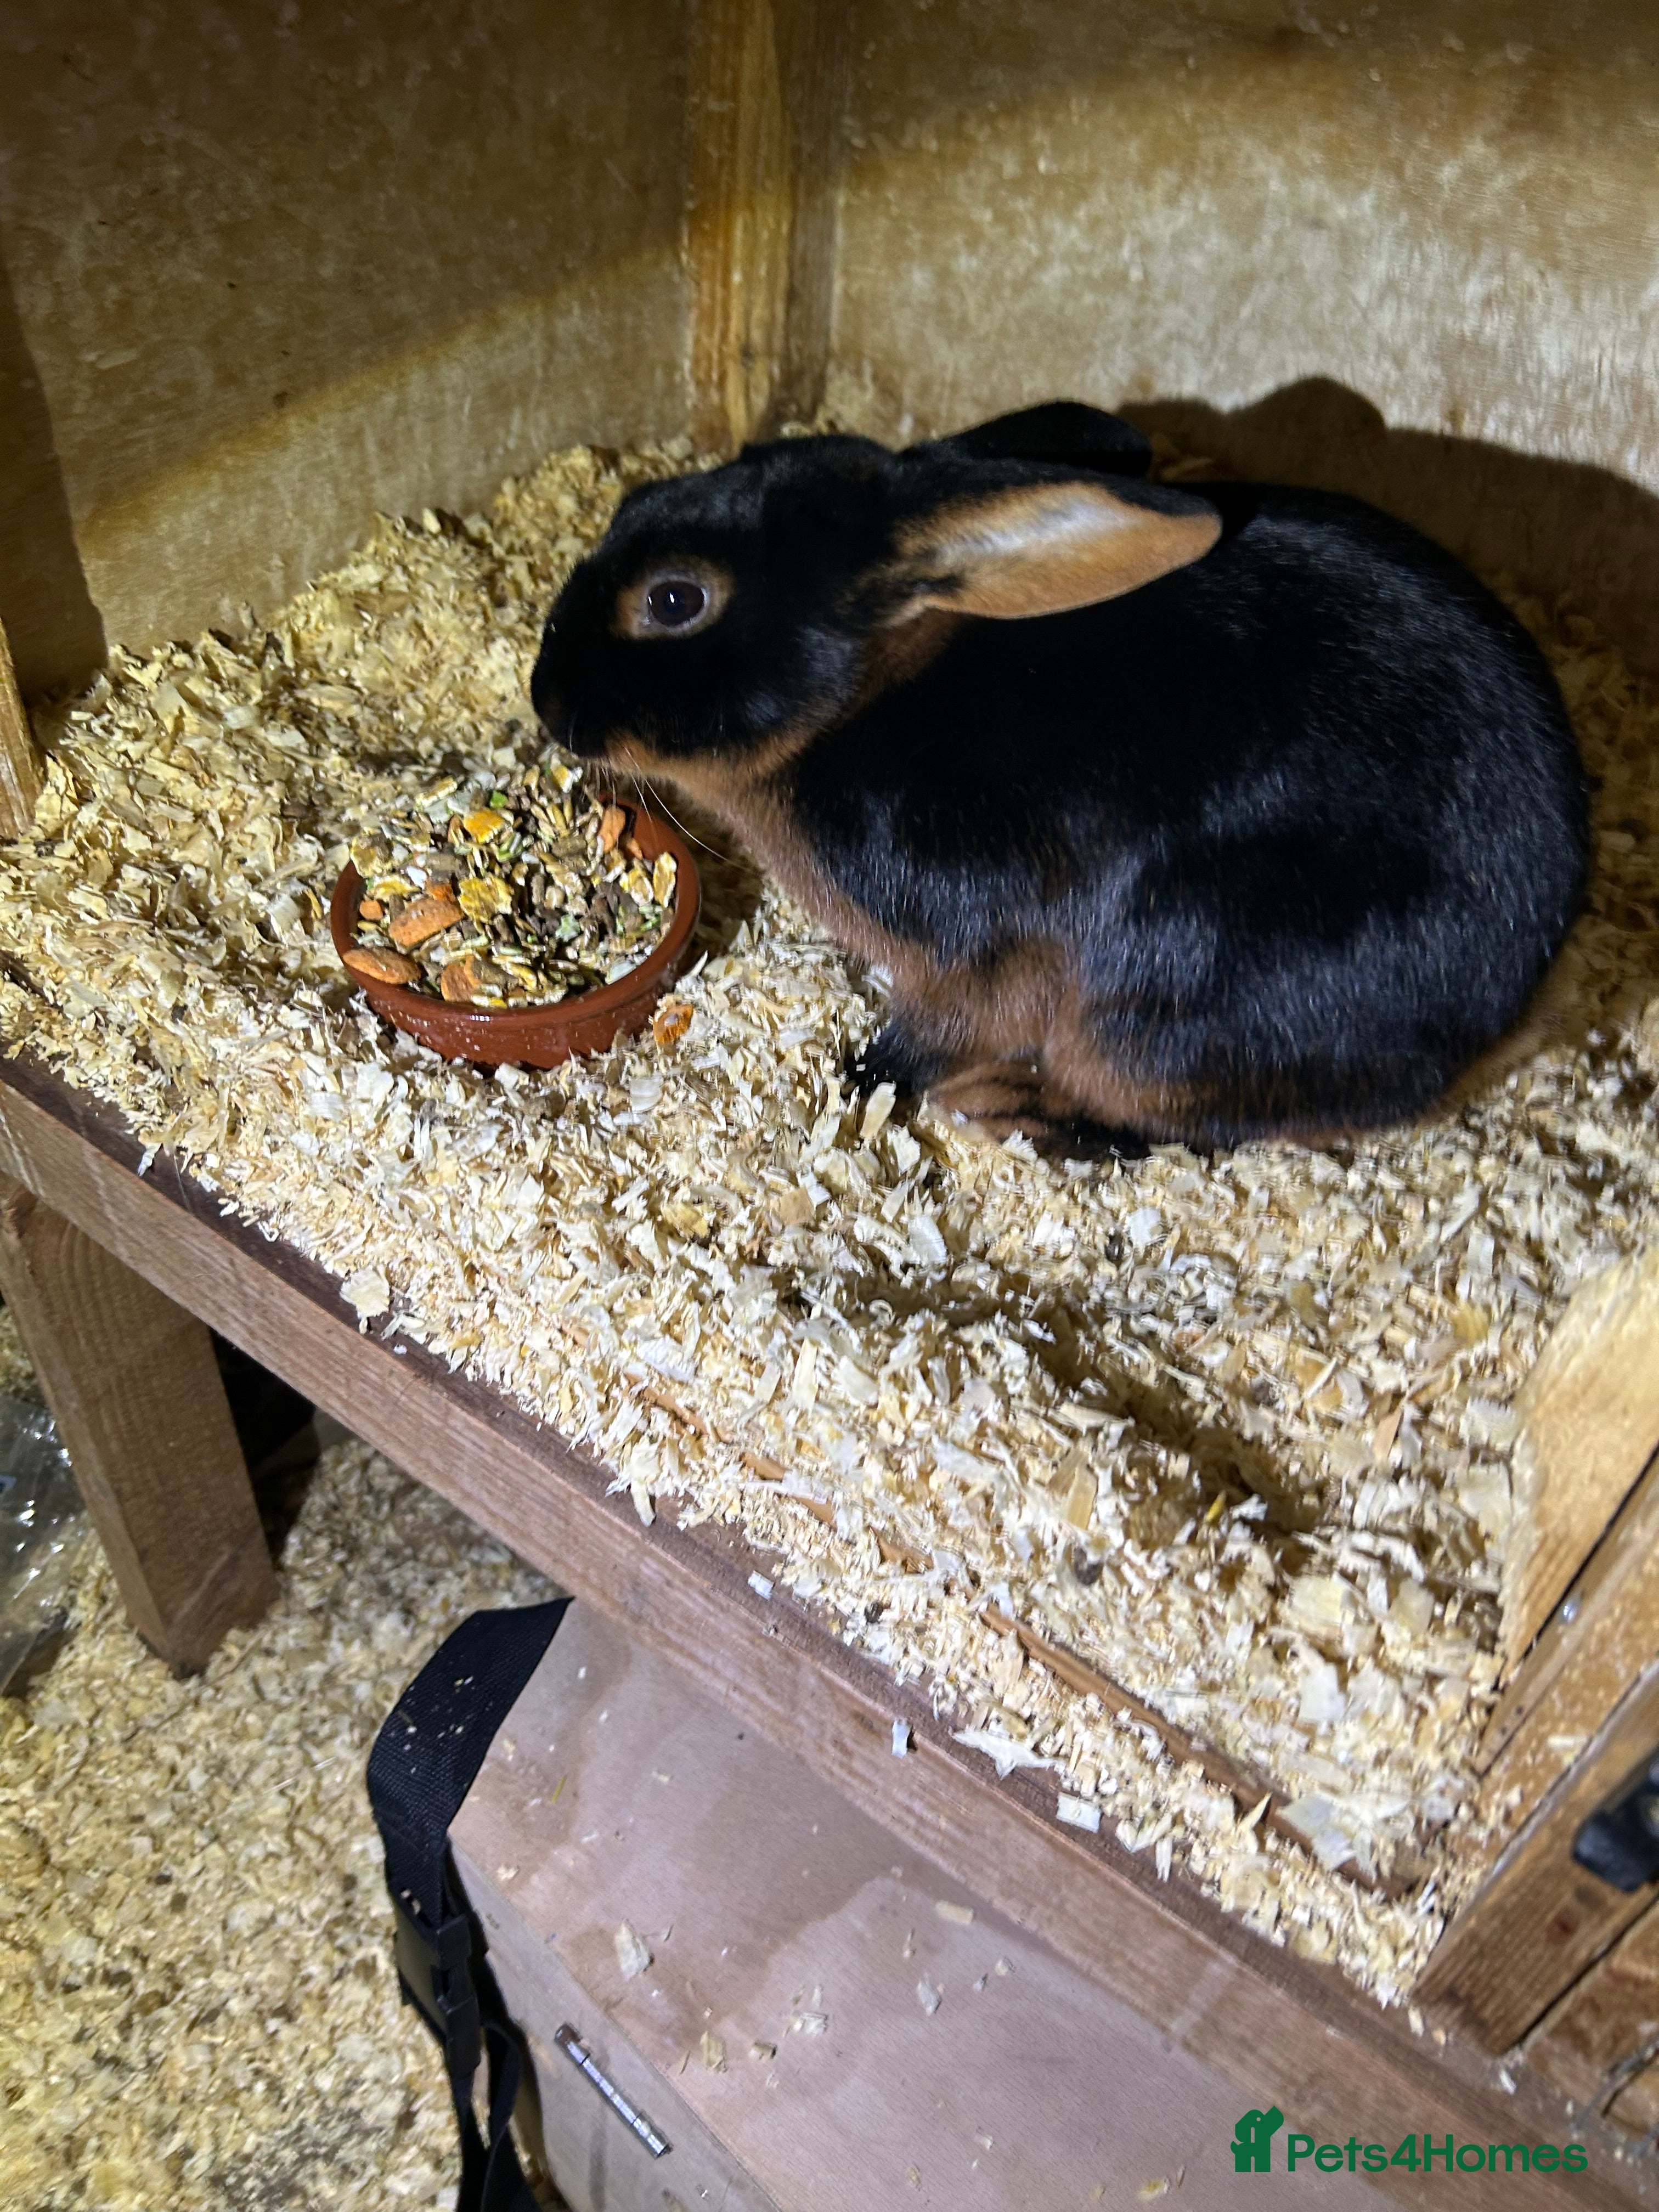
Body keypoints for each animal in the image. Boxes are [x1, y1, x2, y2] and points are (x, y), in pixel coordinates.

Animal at [530, 402, 1589, 1154]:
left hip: (1168, 1005)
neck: (858, 704)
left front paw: (856, 1081)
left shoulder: (975, 953)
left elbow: (926, 1035)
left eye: (675, 600)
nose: (546, 698)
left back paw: (1020, 1111)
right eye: (629, 506)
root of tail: (1503, 1019)